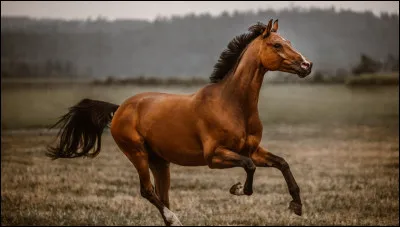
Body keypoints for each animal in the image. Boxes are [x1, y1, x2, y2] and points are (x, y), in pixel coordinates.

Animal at [47, 19, 312, 225]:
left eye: (289, 42)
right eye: (277, 45)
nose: (307, 65)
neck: (232, 104)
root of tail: (119, 108)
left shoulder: (253, 149)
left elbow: (282, 163)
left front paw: (296, 205)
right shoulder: (214, 157)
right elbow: (249, 167)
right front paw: (238, 189)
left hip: (159, 162)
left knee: (161, 195)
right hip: (137, 154)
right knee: (147, 191)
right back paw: (174, 219)